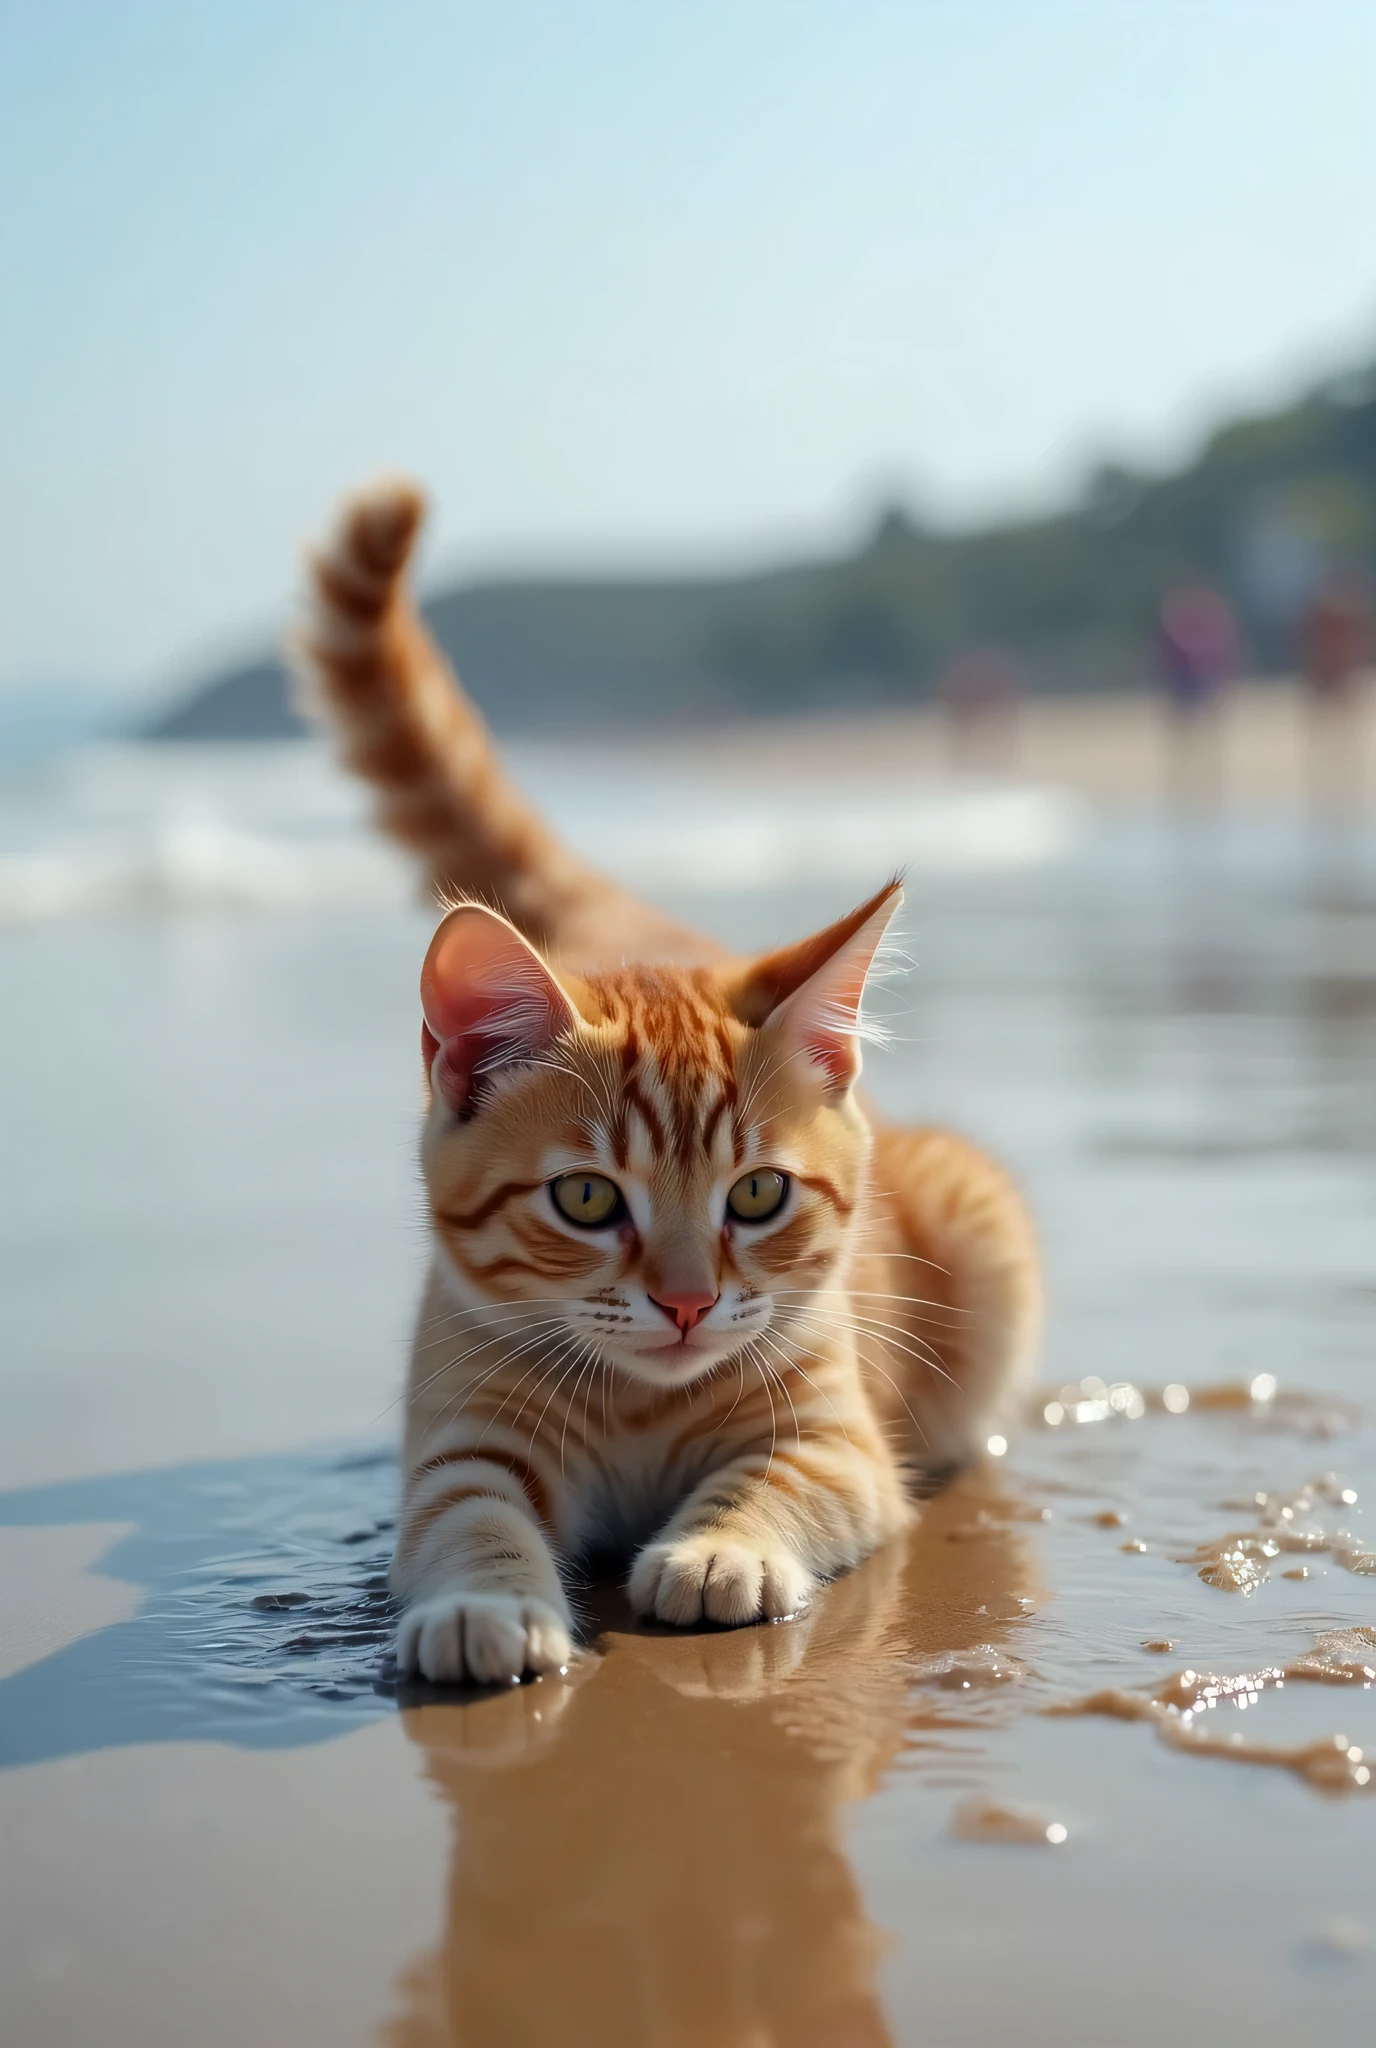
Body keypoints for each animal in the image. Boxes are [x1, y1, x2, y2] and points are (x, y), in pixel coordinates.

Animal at [294, 479, 1036, 1679]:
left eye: (758, 1193)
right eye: (587, 1199)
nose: (686, 1304)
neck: (643, 1408)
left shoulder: (840, 1442)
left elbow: (780, 1475)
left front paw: (720, 1548)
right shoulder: (462, 1439)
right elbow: (470, 1514)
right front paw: (484, 1605)